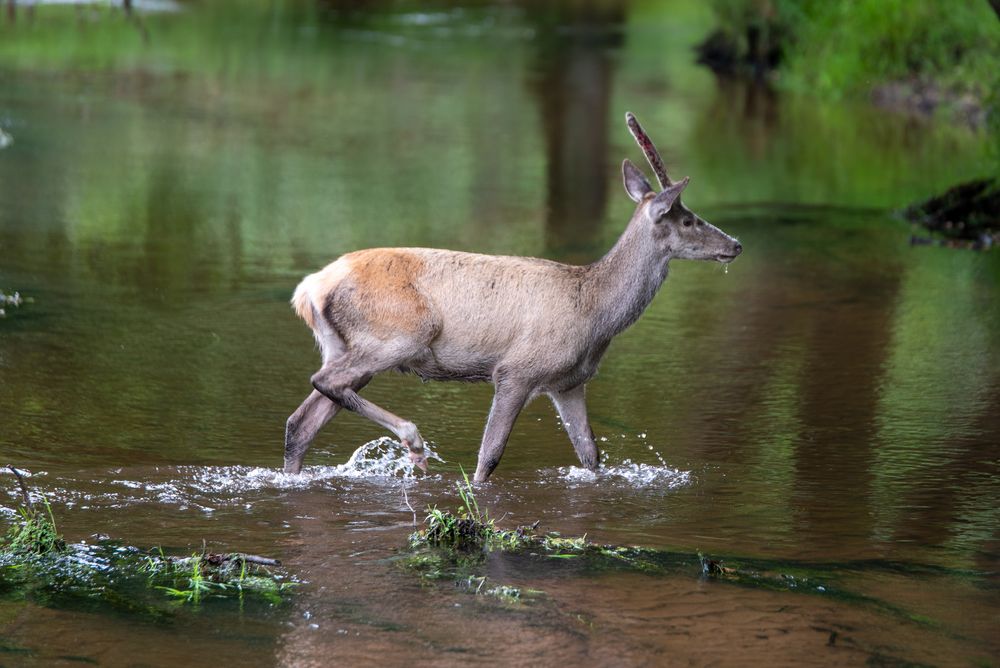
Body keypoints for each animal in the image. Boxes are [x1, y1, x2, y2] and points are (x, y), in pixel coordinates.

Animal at [286, 112, 740, 482]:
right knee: (323, 382)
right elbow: (489, 456)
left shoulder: (569, 383)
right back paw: (414, 442)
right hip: (399, 334)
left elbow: (591, 457)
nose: (734, 244)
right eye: (687, 219)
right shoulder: (517, 370)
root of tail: (309, 289)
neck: (595, 311)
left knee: (301, 421)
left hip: (344, 344)